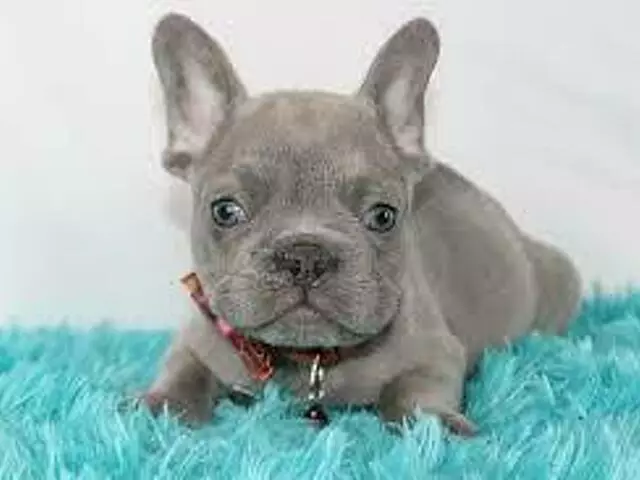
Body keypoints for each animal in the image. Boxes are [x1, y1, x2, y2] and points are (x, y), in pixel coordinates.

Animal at [142, 12, 581, 435]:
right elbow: (181, 372)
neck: (308, 361)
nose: (306, 255)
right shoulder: (197, 340)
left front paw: (437, 424)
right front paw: (157, 405)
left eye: (383, 216)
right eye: (225, 211)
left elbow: (412, 394)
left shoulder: (436, 353)